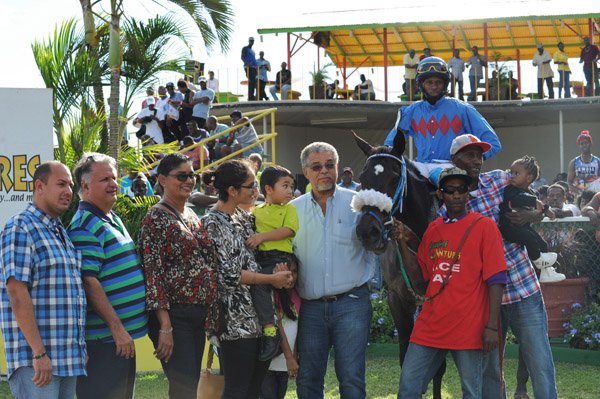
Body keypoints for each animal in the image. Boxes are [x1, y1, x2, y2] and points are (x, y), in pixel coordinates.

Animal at [352, 132, 446, 399]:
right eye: (362, 178)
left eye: (394, 178)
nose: (368, 232)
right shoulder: (397, 298)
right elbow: (406, 359)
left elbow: (438, 367)